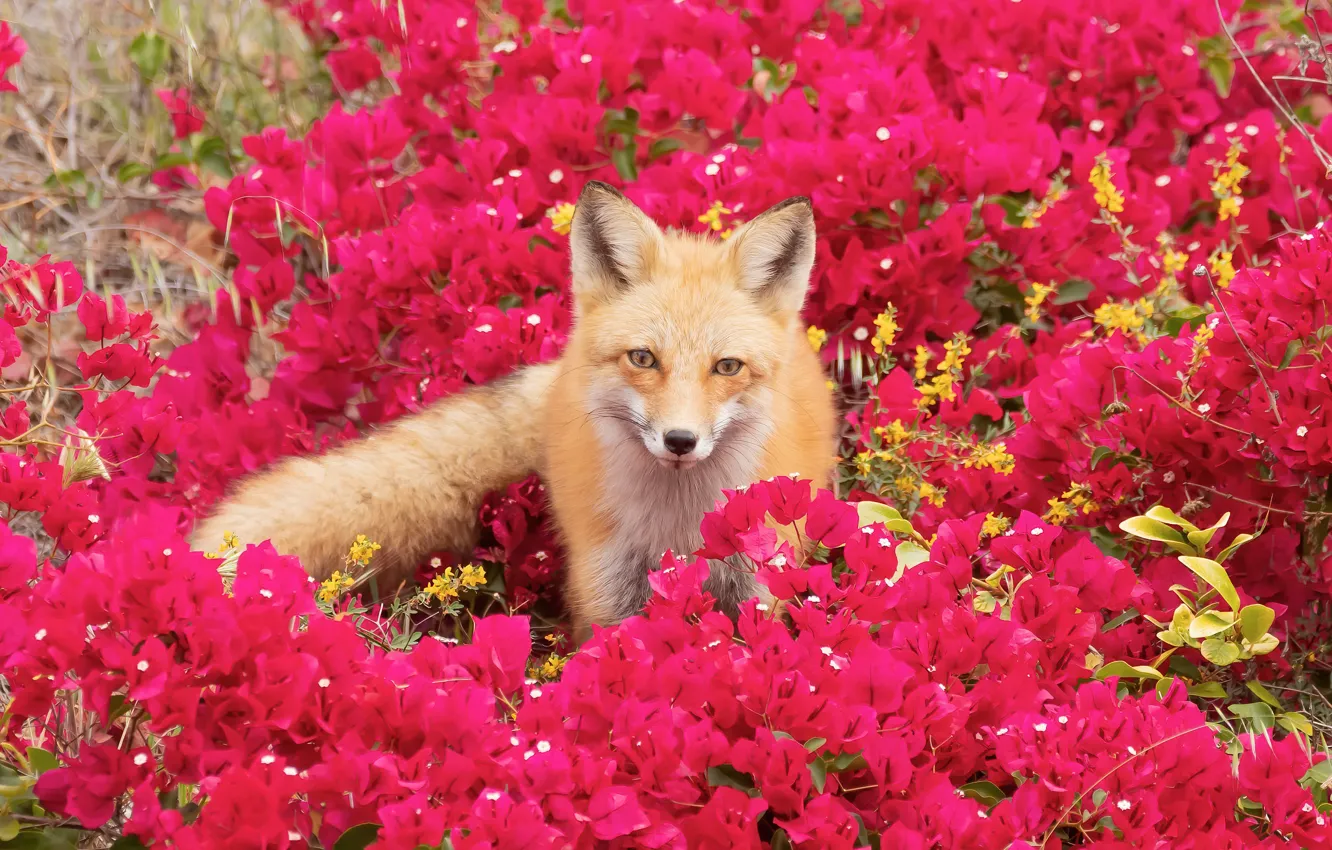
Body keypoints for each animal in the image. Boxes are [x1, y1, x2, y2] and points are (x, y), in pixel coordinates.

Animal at [191, 181, 838, 643]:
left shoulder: (758, 584)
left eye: (726, 367)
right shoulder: (607, 593)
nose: (680, 440)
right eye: (643, 358)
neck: (676, 528)